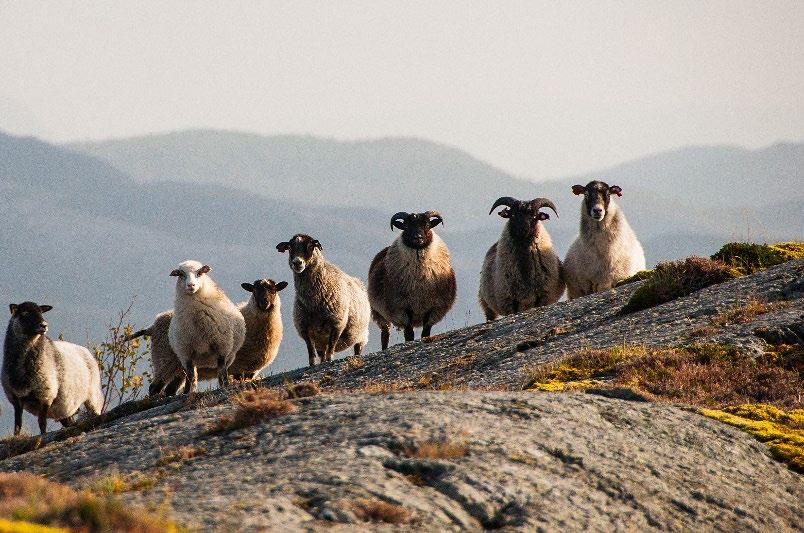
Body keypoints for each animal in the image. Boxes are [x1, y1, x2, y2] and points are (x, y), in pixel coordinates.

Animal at [2, 302, 103, 434]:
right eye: (24, 313)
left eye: (41, 312)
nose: (44, 325)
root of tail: (86, 351)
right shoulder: (15, 398)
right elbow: (18, 425)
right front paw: (16, 436)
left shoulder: (46, 395)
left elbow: (42, 423)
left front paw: (42, 435)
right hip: (65, 410)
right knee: (70, 422)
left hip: (92, 396)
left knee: (96, 412)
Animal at [129, 278, 286, 394]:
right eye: (254, 290)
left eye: (273, 290)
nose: (264, 302)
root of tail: (153, 326)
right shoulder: (236, 368)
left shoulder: (249, 371)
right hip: (164, 360)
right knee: (154, 388)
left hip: (178, 369)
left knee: (169, 390)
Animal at [166, 260, 245, 392]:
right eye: (181, 274)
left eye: (199, 273)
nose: (191, 285)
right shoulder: (186, 352)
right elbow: (190, 375)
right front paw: (187, 392)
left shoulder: (222, 347)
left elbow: (222, 371)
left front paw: (225, 386)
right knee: (192, 375)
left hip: (229, 356)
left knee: (221, 371)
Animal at [276, 234, 370, 366]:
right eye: (289, 247)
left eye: (311, 245)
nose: (297, 262)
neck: (314, 303)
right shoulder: (304, 328)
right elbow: (310, 351)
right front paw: (312, 364)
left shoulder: (337, 324)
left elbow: (331, 347)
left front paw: (330, 360)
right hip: (320, 341)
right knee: (322, 354)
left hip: (361, 334)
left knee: (357, 348)